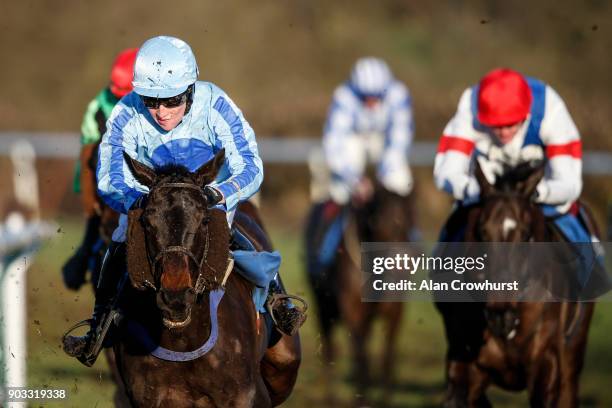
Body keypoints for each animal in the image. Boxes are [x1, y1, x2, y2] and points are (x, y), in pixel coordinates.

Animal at [114, 151, 302, 408]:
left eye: (204, 220)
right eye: (147, 222)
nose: (175, 297)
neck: (185, 342)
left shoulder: (246, 396)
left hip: (284, 362)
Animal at [304, 182, 414, 404]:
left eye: (409, 217)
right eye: (378, 220)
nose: (402, 263)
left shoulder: (394, 313)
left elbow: (387, 358)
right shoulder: (353, 313)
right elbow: (361, 357)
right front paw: (361, 400)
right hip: (324, 308)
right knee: (329, 350)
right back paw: (331, 398)